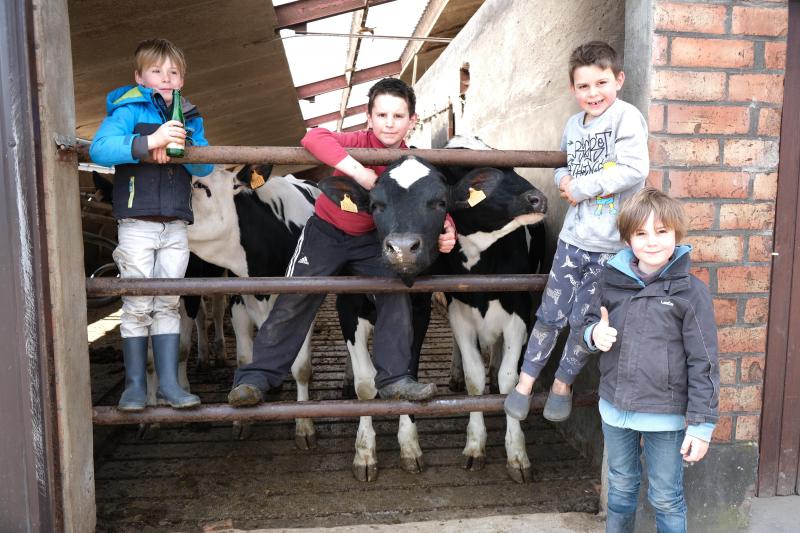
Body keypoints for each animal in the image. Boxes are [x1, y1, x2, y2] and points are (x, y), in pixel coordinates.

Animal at [322, 138, 548, 482]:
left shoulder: (517, 308)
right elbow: (367, 385)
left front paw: (516, 455)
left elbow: (508, 380)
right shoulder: (351, 307)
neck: (482, 266)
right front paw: (366, 453)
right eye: (375, 206)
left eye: (441, 202)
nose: (537, 198)